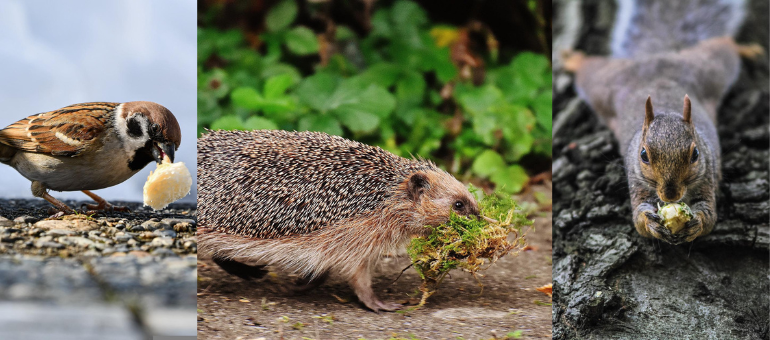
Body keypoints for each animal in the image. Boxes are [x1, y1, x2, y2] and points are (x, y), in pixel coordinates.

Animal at [195, 129, 476, 310]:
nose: (480, 217)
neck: (388, 195)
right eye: (458, 204)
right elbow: (357, 274)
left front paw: (303, 283)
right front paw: (379, 303)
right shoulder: (355, 233)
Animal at [560, 0, 756, 244]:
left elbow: (709, 216)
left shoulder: (707, 176)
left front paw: (696, 223)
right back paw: (573, 59)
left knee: (724, 46)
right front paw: (650, 222)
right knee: (589, 69)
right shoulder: (637, 181)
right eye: (643, 155)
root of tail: (658, 56)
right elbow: (638, 219)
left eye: (695, 154)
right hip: (604, 84)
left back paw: (747, 48)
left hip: (711, 69)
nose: (670, 195)